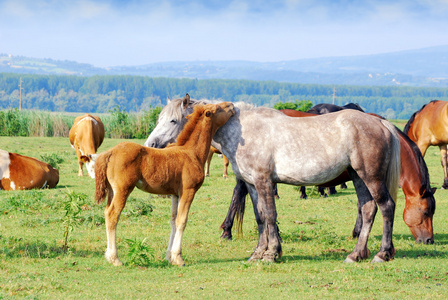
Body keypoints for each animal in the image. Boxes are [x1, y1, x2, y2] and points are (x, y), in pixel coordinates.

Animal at [94, 102, 234, 266]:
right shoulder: (188, 191)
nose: (231, 105)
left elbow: (173, 221)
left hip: (112, 191)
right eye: (217, 108)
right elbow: (182, 221)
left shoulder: (175, 194)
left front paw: (169, 257)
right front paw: (178, 258)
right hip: (123, 189)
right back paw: (114, 258)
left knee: (106, 212)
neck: (192, 152)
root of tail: (109, 153)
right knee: (112, 215)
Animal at [222, 112, 436, 244]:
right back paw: (229, 230)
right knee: (239, 194)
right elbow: (362, 205)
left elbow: (363, 204)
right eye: (426, 212)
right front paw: (357, 232)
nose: (429, 240)